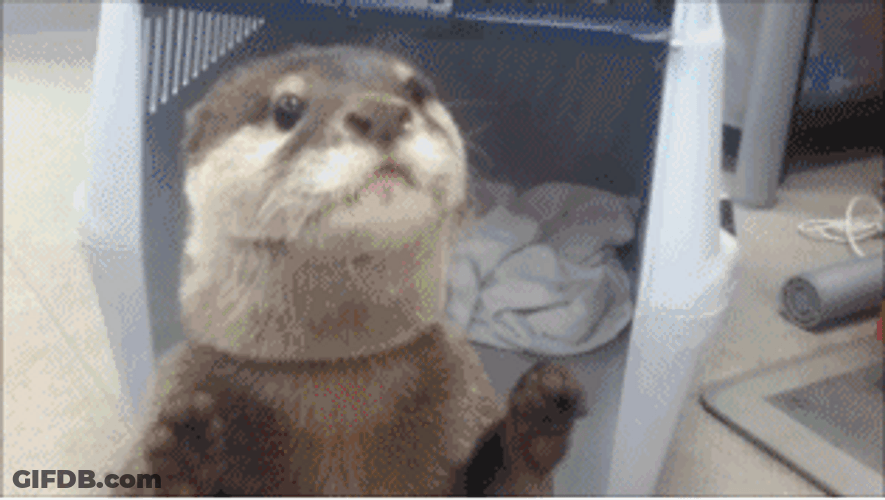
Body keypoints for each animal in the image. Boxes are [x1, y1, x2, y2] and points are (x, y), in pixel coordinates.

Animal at [121, 44, 585, 496]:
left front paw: (540, 411)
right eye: (287, 107)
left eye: (417, 90)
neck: (333, 385)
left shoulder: (463, 379)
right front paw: (185, 456)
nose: (383, 113)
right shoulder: (178, 379)